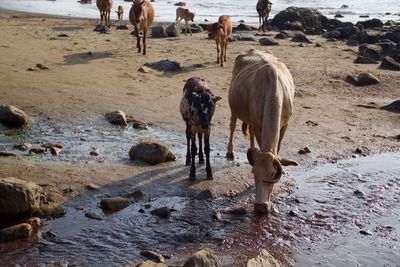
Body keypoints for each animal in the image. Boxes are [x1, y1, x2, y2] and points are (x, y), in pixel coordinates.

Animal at [225, 49, 296, 215]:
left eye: (272, 174)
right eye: (254, 174)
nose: (260, 206)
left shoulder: (285, 124)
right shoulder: (258, 124)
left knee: (249, 129)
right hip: (234, 108)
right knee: (232, 125)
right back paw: (230, 151)